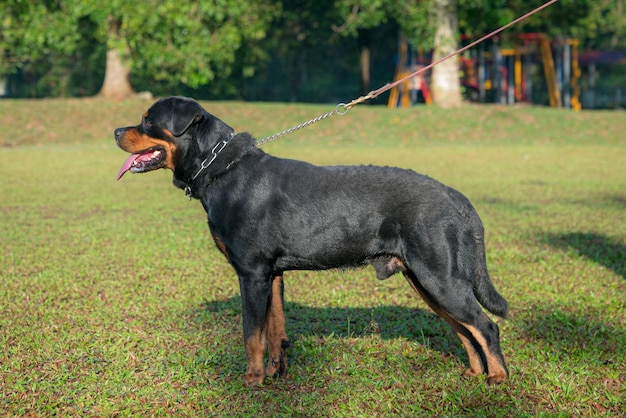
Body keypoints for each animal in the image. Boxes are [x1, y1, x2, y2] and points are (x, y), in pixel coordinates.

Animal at [116, 95, 508, 386]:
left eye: (147, 120)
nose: (117, 130)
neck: (221, 170)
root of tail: (455, 197)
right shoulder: (272, 276)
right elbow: (275, 331)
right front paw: (276, 374)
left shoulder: (252, 274)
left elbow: (251, 334)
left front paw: (251, 381)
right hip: (427, 281)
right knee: (465, 330)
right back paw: (475, 373)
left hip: (439, 278)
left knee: (485, 326)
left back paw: (498, 379)